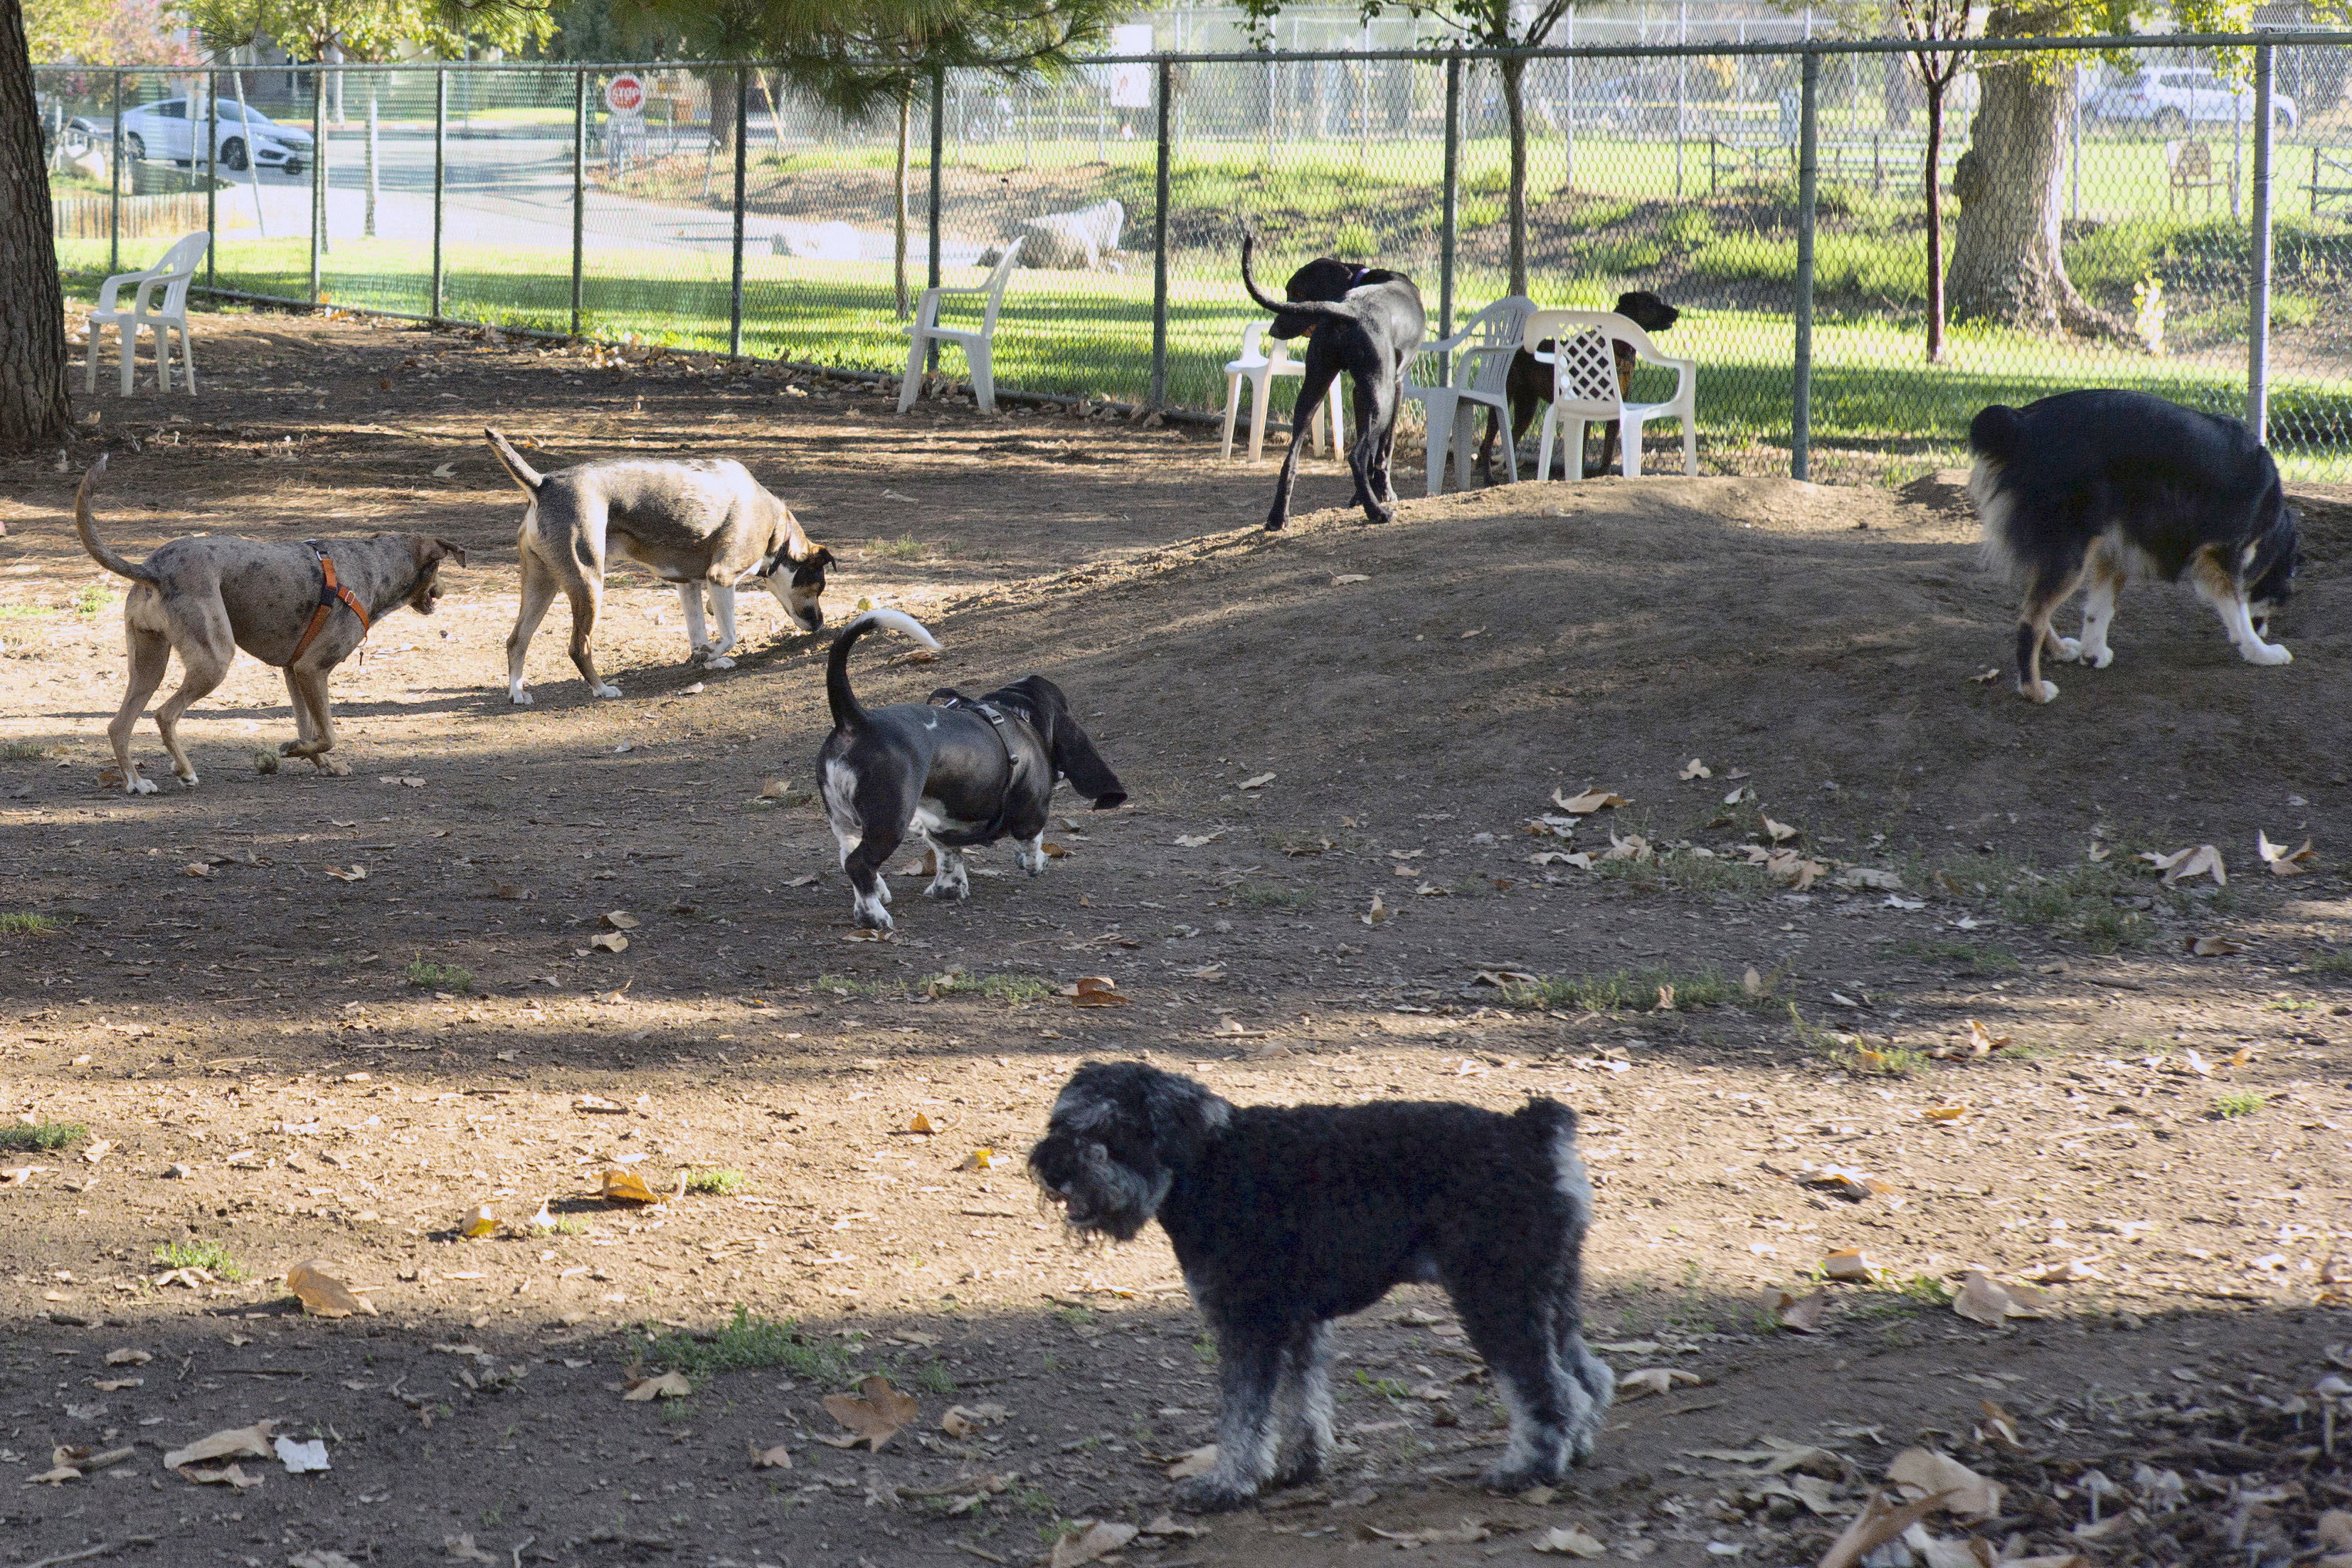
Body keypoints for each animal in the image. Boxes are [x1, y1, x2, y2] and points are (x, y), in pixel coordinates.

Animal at [823, 611, 1124, 931]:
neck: (1016, 711)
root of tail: (857, 720)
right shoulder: (1032, 813)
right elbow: (1032, 843)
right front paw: (1037, 862)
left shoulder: (942, 823)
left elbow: (948, 855)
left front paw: (949, 888)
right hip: (890, 822)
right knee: (858, 863)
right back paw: (874, 915)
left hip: (845, 821)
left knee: (848, 856)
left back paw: (877, 895)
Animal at [1030, 1062, 1618, 1514]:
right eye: (1059, 1121)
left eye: (1110, 1130)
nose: (1050, 1168)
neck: (1205, 1163)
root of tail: (1535, 1133)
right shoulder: (1299, 1325)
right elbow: (1301, 1401)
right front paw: (1301, 1465)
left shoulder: (1250, 1323)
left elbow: (1243, 1416)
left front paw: (1226, 1485)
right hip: (1554, 1292)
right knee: (1588, 1377)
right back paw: (1577, 1450)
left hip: (1497, 1297)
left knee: (1550, 1390)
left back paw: (1529, 1468)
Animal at [1241, 230, 1420, 531]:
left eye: (1297, 293)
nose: (1273, 329)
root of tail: (1348, 310)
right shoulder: (1397, 384)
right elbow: (1384, 449)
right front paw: (1384, 494)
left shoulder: (1359, 391)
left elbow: (1372, 452)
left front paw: (1360, 496)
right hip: (1381, 395)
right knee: (1357, 455)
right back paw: (1377, 512)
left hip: (1315, 387)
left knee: (1291, 458)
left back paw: (1278, 517)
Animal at [1966, 390, 2295, 709]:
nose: (2265, 630)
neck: (2272, 518)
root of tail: (2020, 425)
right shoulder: (2222, 553)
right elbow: (2237, 608)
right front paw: (2260, 650)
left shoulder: (2116, 547)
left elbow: (2101, 606)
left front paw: (2094, 652)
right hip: (2070, 551)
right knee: (2029, 620)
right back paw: (2033, 690)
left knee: (2031, 606)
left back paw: (2059, 651)